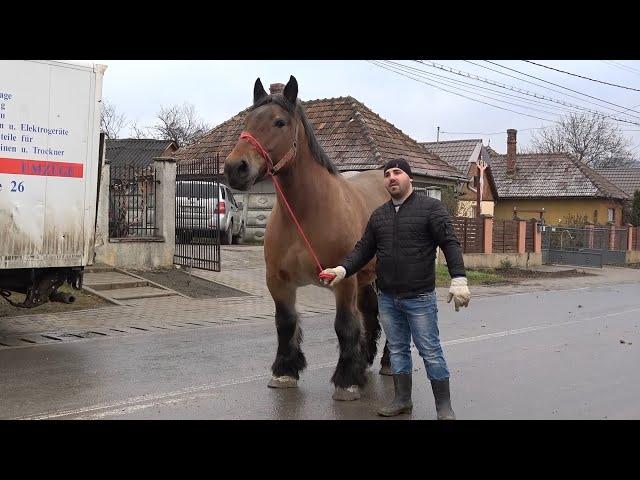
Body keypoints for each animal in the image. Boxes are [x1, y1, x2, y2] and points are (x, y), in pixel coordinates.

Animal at [225, 75, 396, 400]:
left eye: (279, 122)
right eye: (247, 120)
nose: (234, 167)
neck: (304, 215)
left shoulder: (343, 281)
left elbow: (344, 326)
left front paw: (346, 380)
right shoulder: (278, 282)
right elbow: (285, 323)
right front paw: (285, 371)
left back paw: (387, 364)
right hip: (366, 279)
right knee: (370, 314)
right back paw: (367, 361)